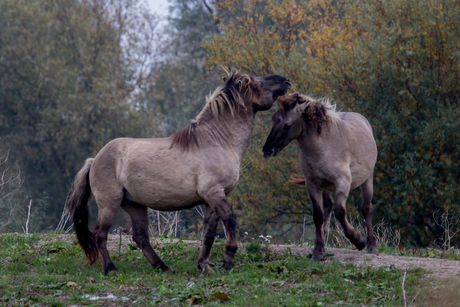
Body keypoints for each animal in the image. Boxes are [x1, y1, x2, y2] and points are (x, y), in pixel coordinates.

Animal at [68, 73, 292, 276]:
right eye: (258, 81)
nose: (286, 80)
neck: (218, 141)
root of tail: (94, 160)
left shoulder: (211, 200)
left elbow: (209, 235)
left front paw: (204, 266)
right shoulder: (214, 193)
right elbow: (230, 220)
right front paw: (228, 258)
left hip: (134, 205)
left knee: (140, 237)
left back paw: (163, 267)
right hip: (110, 204)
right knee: (100, 234)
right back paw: (111, 268)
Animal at [262, 92, 378, 262]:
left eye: (287, 124)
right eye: (273, 119)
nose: (267, 150)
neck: (323, 145)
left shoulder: (343, 182)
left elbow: (339, 211)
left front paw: (358, 240)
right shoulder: (313, 185)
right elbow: (318, 215)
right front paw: (318, 250)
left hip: (367, 178)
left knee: (367, 208)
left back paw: (371, 245)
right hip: (326, 186)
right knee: (327, 207)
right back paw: (321, 242)